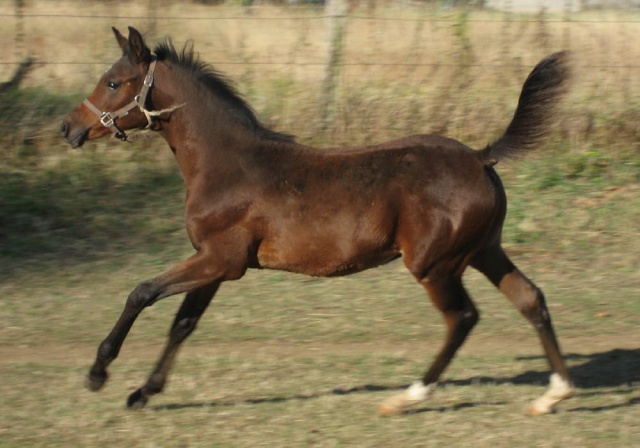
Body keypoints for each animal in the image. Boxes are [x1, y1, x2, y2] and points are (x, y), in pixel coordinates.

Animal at [58, 26, 576, 414]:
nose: (68, 128)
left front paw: (98, 372)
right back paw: (554, 394)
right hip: (484, 250)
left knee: (463, 317)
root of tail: (480, 157)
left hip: (436, 264)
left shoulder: (221, 259)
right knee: (530, 298)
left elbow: (141, 292)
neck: (227, 165)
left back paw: (408, 396)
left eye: (113, 82)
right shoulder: (214, 262)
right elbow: (182, 323)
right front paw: (143, 392)